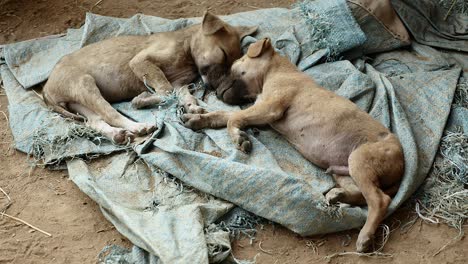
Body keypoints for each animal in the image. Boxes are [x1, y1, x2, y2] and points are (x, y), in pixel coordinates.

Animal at [43, 11, 256, 144]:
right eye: (223, 54)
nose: (214, 88)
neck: (186, 50)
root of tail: (46, 88)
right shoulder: (141, 62)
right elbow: (165, 90)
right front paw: (142, 99)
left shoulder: (179, 83)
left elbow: (180, 94)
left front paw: (192, 106)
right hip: (85, 85)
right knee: (111, 114)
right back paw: (139, 127)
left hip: (80, 104)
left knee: (95, 121)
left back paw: (117, 135)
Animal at [183, 37, 406, 252]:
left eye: (233, 66)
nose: (214, 91)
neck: (276, 71)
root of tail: (402, 163)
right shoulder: (260, 110)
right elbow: (225, 115)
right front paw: (199, 119)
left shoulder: (269, 108)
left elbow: (234, 118)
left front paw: (239, 137)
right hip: (343, 170)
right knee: (363, 195)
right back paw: (338, 195)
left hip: (359, 160)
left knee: (379, 199)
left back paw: (365, 236)